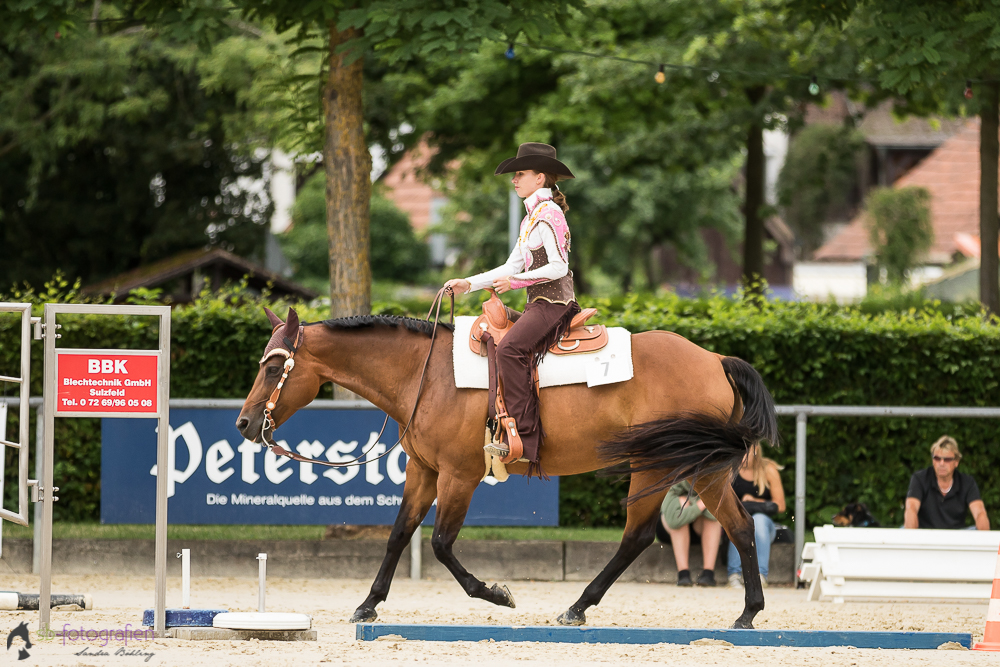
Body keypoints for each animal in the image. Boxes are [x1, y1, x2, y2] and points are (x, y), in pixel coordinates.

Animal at [236, 306, 780, 628]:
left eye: (272, 366)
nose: (243, 423)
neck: (425, 375)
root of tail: (715, 359)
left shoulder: (459, 476)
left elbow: (440, 543)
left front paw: (496, 594)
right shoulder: (423, 473)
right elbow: (399, 535)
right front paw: (368, 604)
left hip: (659, 463)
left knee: (641, 536)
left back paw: (579, 607)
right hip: (701, 469)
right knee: (738, 526)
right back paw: (747, 613)